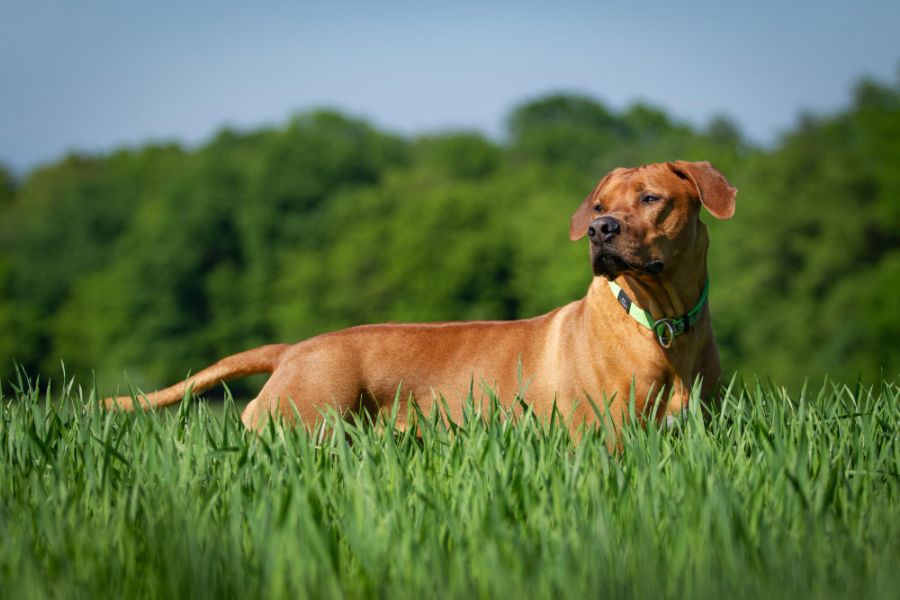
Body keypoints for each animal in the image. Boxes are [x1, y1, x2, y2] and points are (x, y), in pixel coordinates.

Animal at [105, 159, 740, 436]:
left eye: (651, 198)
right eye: (602, 204)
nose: (598, 230)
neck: (661, 321)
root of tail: (294, 349)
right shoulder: (599, 437)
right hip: (302, 421)